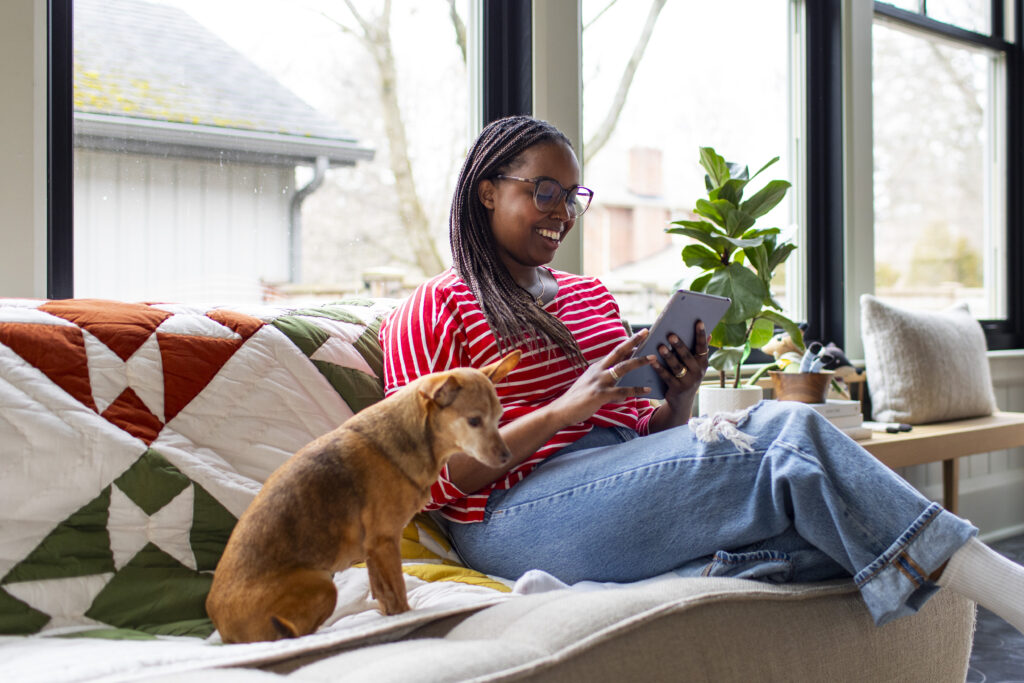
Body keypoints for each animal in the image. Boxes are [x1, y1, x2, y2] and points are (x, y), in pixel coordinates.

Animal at [206, 352, 520, 647]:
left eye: (499, 417)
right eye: (474, 421)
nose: (508, 456)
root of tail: (223, 632)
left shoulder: (373, 551)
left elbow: (384, 594)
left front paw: (388, 615)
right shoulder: (385, 541)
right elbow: (398, 591)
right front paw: (406, 615)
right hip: (324, 586)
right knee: (296, 633)